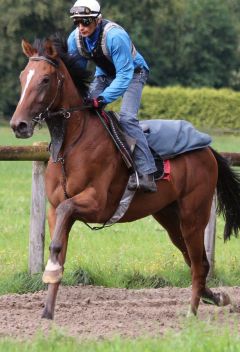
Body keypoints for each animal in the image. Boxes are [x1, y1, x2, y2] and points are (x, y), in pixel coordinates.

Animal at [9, 35, 240, 320]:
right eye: (23, 77)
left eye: (45, 79)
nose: (18, 125)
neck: (71, 145)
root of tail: (207, 148)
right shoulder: (54, 209)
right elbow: (58, 245)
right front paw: (47, 311)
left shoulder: (96, 204)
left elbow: (63, 222)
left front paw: (49, 273)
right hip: (169, 216)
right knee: (197, 260)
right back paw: (216, 297)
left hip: (193, 215)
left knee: (198, 263)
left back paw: (191, 312)